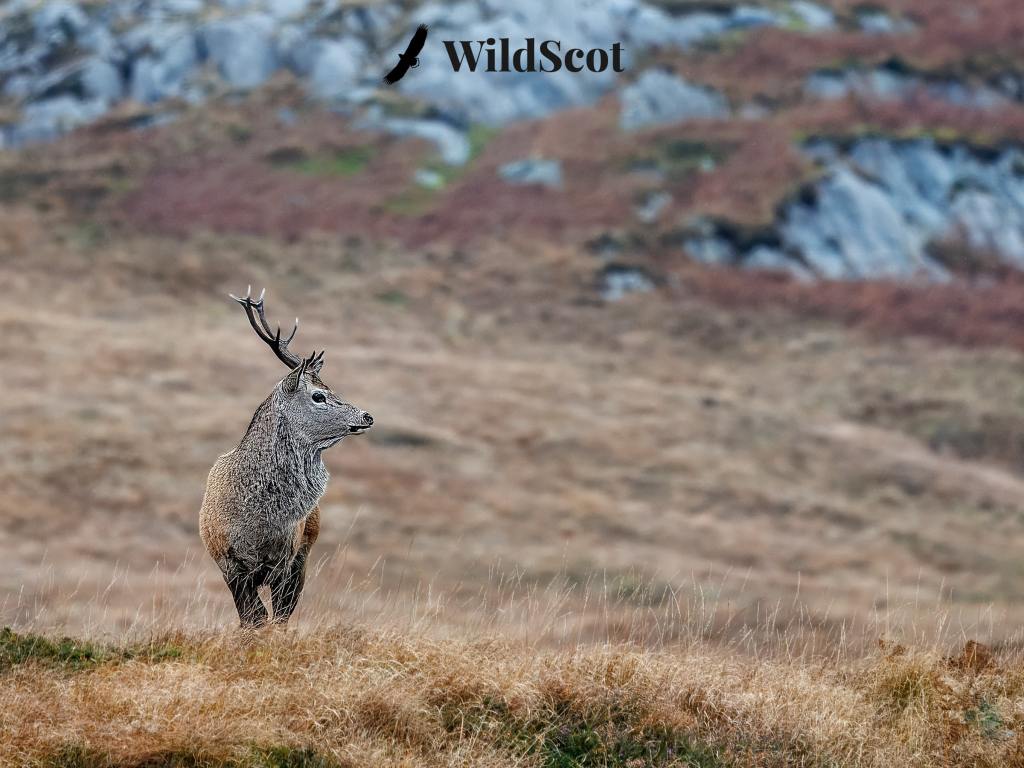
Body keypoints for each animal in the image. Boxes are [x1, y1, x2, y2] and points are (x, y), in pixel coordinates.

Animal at [200, 288, 373, 627]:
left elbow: (275, 618)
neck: (257, 521)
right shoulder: (228, 562)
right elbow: (252, 619)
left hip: (304, 554)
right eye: (318, 395)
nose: (367, 416)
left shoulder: (286, 559)